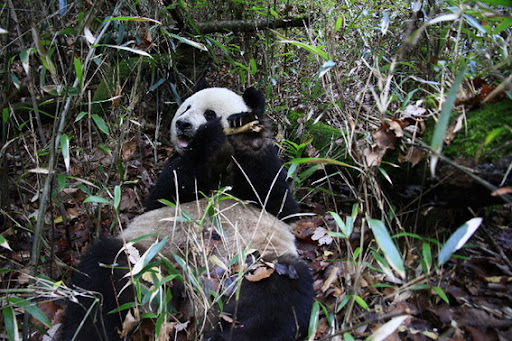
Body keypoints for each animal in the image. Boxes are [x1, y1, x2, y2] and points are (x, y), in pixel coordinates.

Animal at [142, 86, 298, 220]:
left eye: (209, 114)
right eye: (186, 108)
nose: (182, 124)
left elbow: (279, 203)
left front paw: (244, 127)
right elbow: (162, 197)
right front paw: (207, 136)